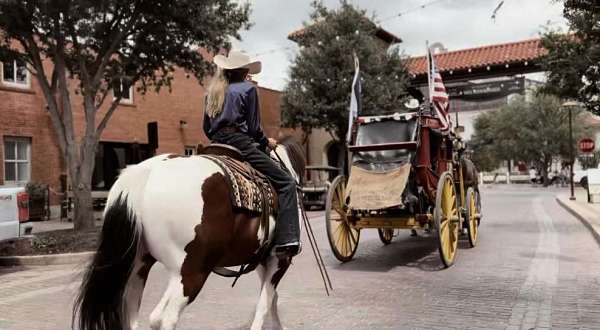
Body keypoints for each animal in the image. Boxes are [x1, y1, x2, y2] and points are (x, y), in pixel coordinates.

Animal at [74, 141, 304, 330]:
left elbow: (271, 298)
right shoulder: (279, 259)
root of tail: (146, 173)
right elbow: (266, 302)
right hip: (193, 272)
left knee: (135, 316)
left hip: (141, 268)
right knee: (168, 318)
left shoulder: (261, 261)